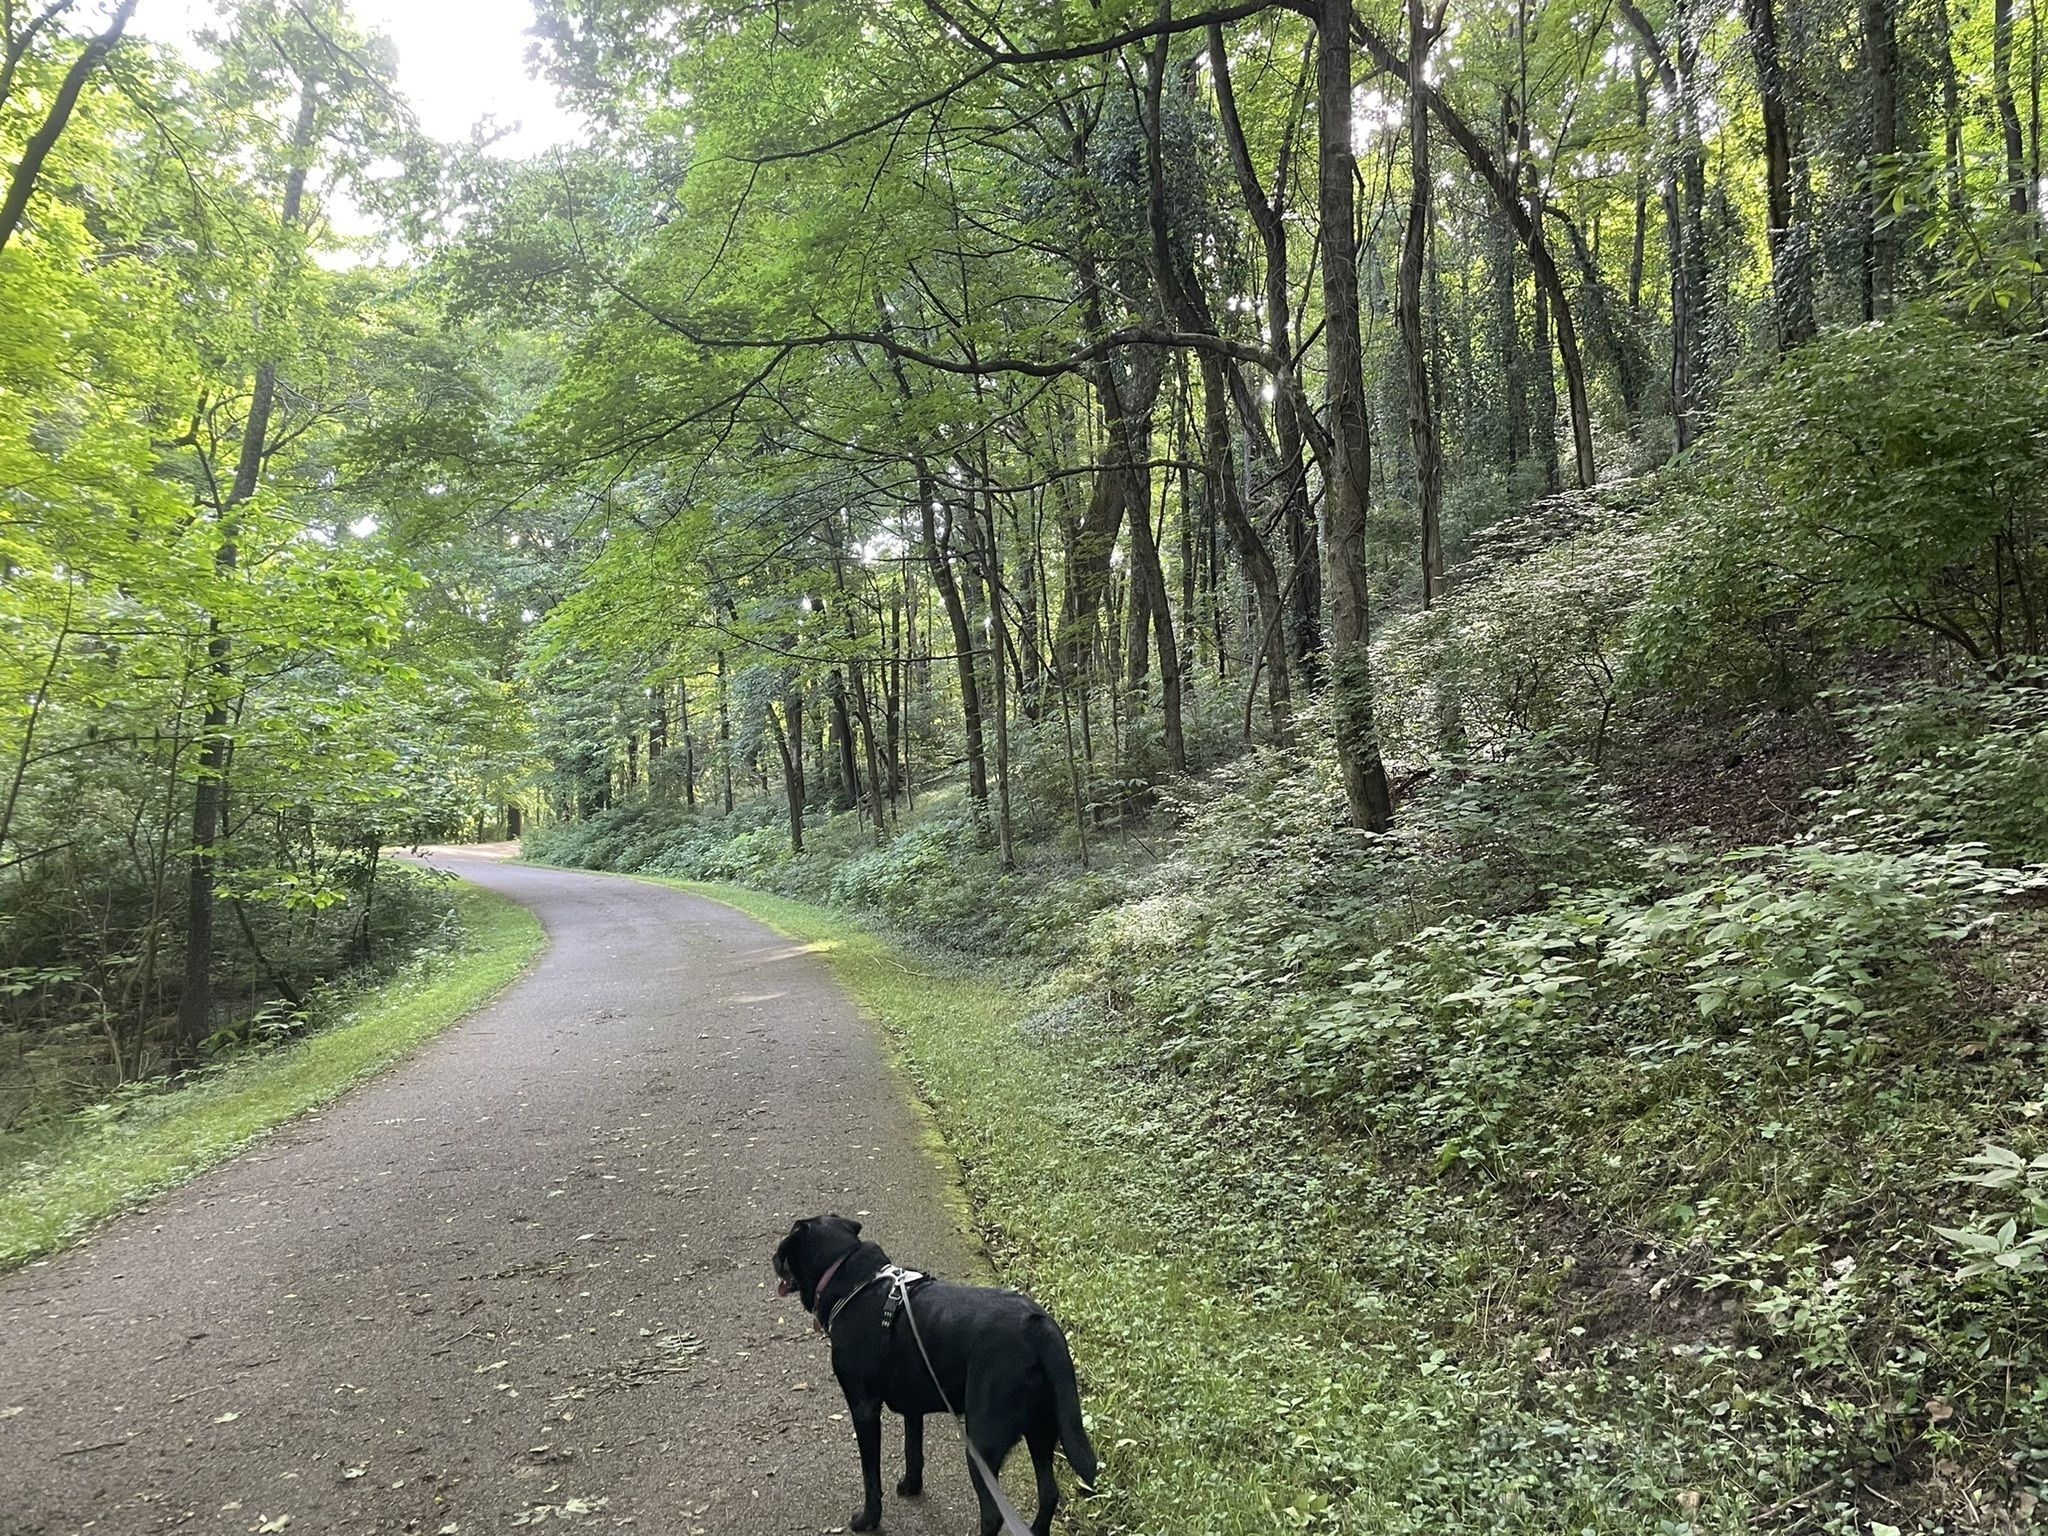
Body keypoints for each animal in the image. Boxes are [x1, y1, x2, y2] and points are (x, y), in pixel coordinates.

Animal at [770, 1212, 1097, 1536]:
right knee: (1049, 1493)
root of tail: (1039, 1327)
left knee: (994, 1514)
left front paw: (867, 1520)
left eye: (784, 1247)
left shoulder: (864, 1409)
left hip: (983, 1440)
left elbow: (871, 1476)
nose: (772, 1257)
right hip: (1042, 1429)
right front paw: (910, 1486)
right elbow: (912, 1449)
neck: (851, 1279)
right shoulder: (913, 1406)